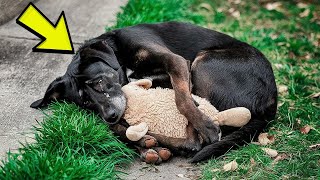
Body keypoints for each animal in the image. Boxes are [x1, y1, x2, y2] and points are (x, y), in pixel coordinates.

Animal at [31, 21, 278, 163]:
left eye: (99, 82)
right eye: (85, 103)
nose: (110, 116)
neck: (118, 52)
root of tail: (272, 102)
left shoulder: (177, 62)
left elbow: (182, 100)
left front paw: (205, 125)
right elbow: (115, 127)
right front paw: (138, 142)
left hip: (203, 62)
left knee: (198, 136)